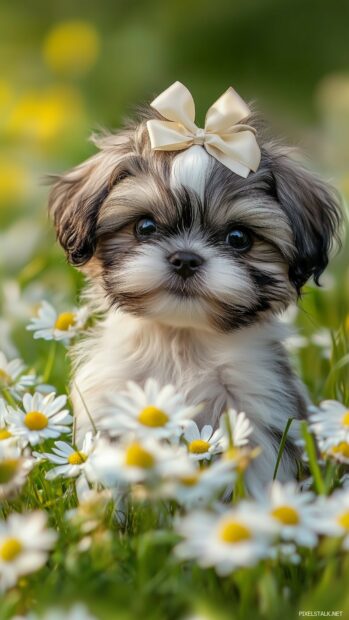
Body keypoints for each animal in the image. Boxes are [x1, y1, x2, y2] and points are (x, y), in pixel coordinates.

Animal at [48, 81, 340, 494]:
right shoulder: (112, 402)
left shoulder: (258, 408)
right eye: (145, 227)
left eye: (238, 238)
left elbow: (258, 478)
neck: (181, 340)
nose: (185, 259)